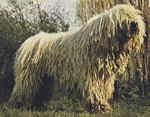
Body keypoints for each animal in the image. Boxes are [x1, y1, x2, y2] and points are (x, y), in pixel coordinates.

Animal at [9, 4, 144, 112]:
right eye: (122, 16)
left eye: (134, 15)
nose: (134, 23)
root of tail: (27, 42)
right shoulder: (91, 75)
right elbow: (94, 90)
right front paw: (98, 107)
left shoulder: (104, 76)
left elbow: (102, 90)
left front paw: (101, 106)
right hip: (30, 75)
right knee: (24, 90)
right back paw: (19, 106)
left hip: (44, 76)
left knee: (40, 91)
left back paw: (37, 106)